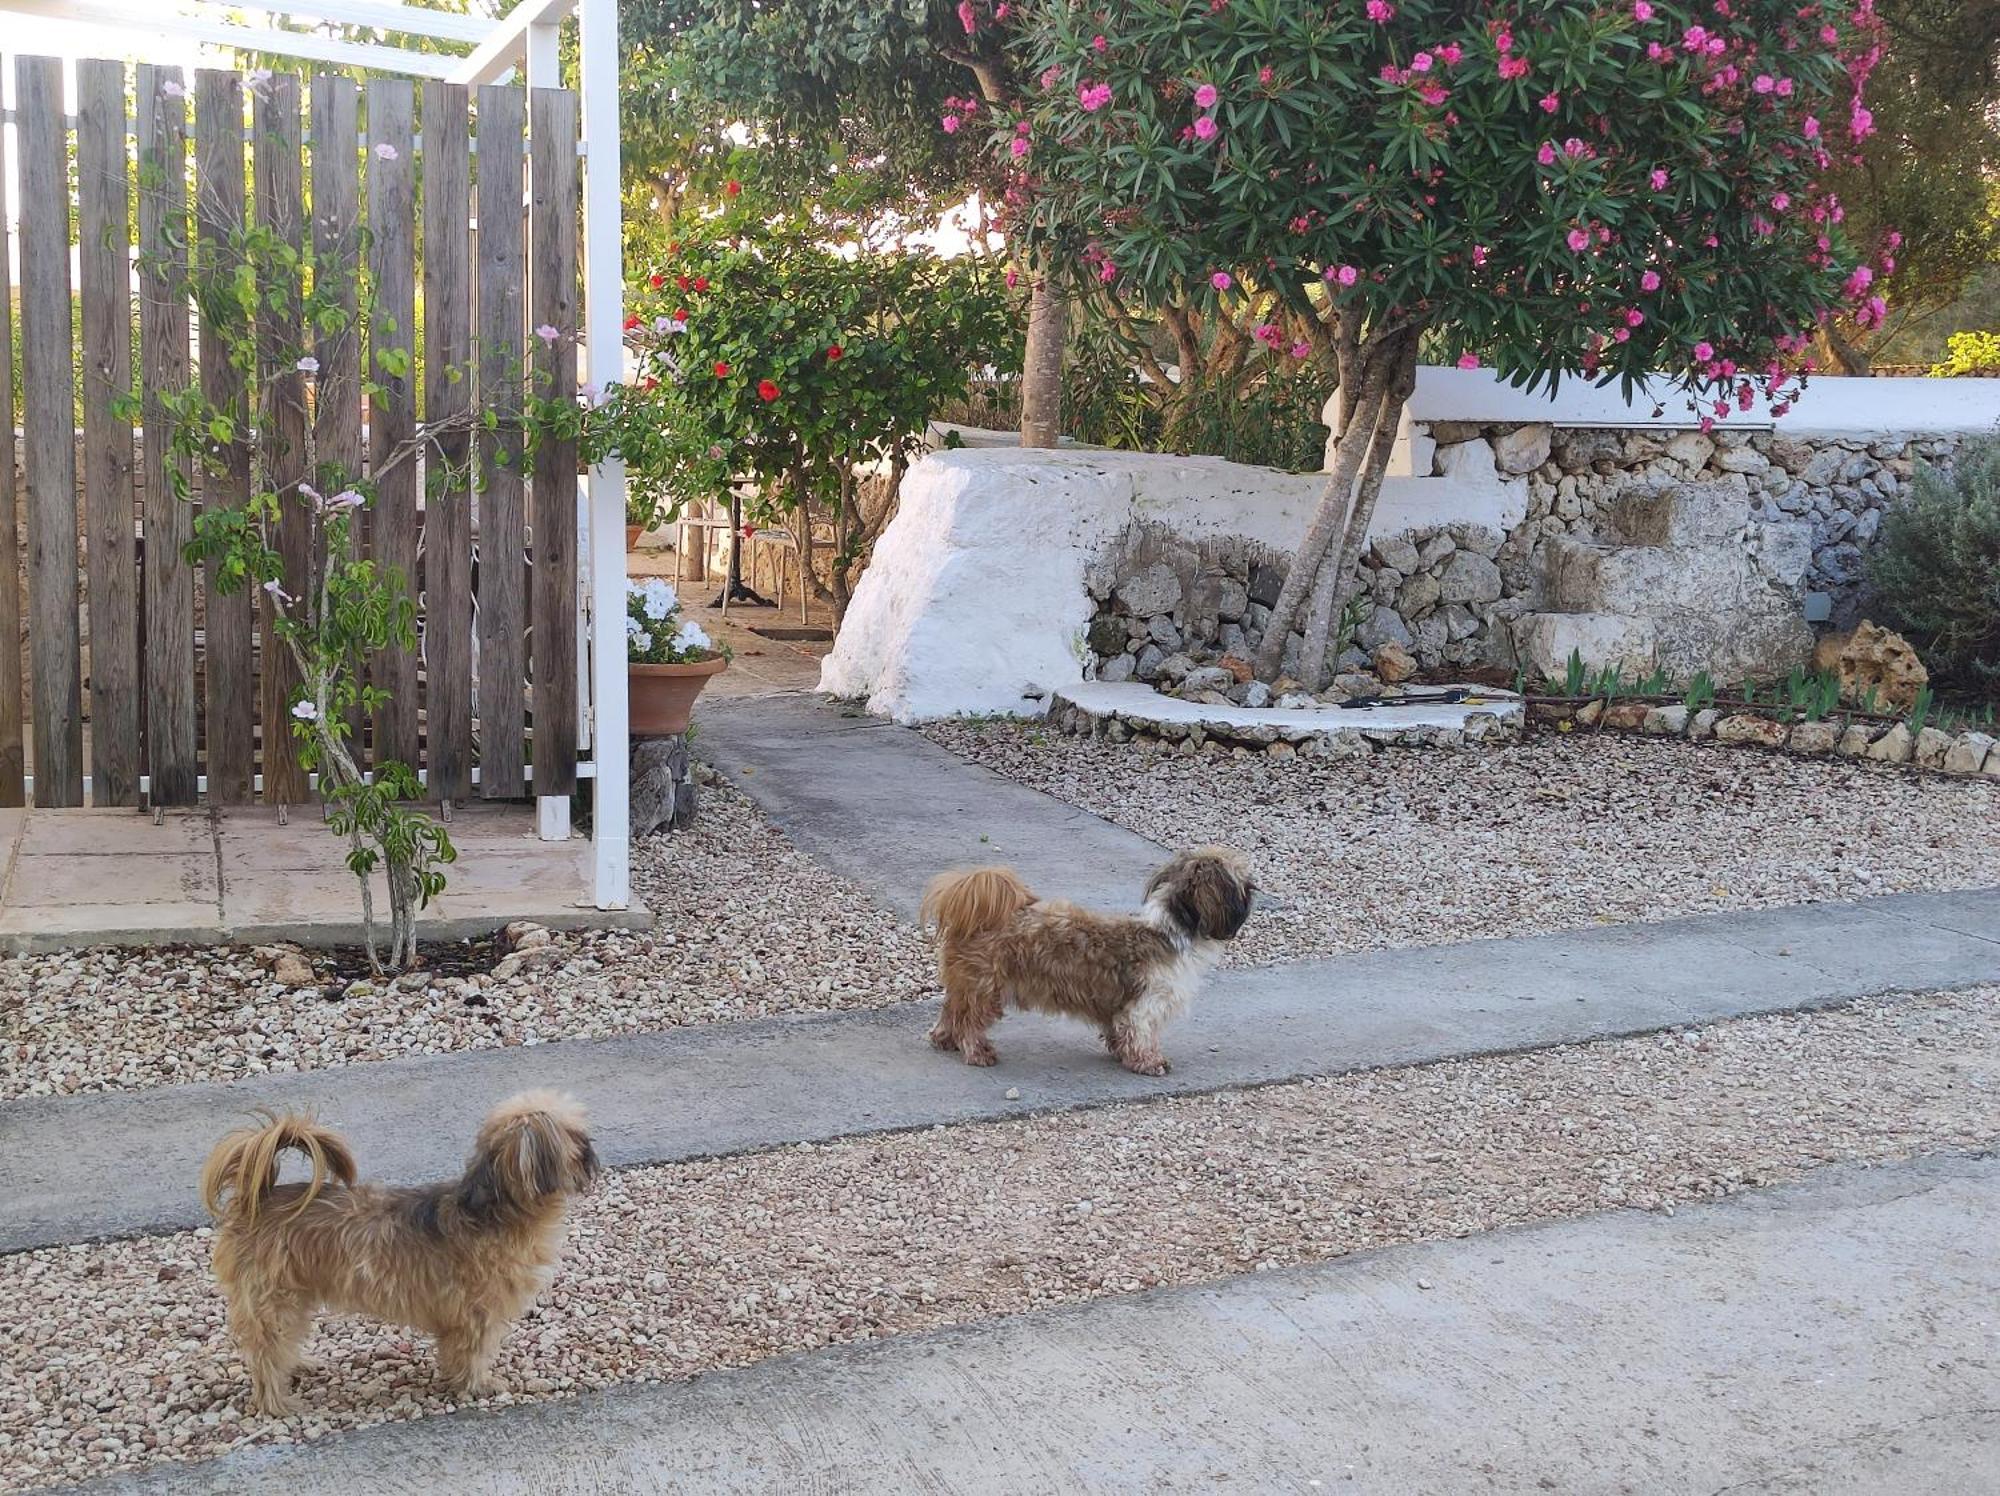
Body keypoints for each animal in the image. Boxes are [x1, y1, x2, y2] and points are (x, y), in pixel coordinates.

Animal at [199, 1096, 596, 1408]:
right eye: (574, 1136)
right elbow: (473, 1352)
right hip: (272, 1301)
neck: (491, 1210)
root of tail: (257, 1198)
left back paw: (299, 1366)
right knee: (265, 1354)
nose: (591, 1147)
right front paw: (478, 1385)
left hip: (293, 1298)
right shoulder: (476, 1315)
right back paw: (277, 1403)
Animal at [920, 840, 1248, 1072]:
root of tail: (977, 920)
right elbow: (1142, 1034)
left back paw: (944, 1039)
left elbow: (1119, 1032)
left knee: (952, 1011)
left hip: (967, 985)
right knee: (969, 1023)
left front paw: (1121, 1052)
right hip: (986, 989)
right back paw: (978, 1052)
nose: (1252, 884)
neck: (1170, 930)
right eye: (1241, 881)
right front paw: (1149, 1061)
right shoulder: (1145, 1004)